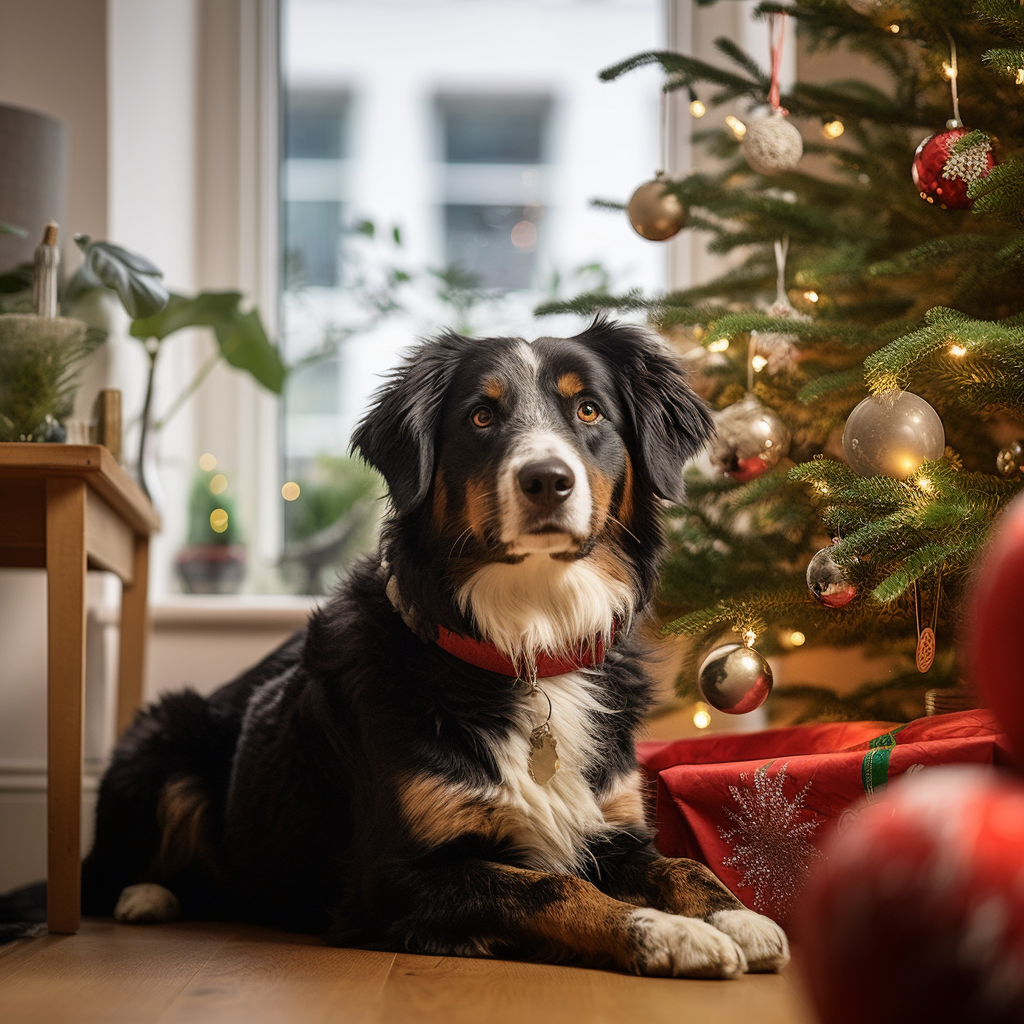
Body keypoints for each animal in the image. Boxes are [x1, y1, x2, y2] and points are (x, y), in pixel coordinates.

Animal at [81, 317, 790, 974]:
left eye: (589, 410)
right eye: (481, 416)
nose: (547, 479)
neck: (528, 646)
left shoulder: (617, 828)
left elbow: (681, 866)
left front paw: (738, 916)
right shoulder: (397, 875)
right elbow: (552, 887)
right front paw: (666, 933)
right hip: (166, 732)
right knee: (106, 868)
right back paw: (145, 896)